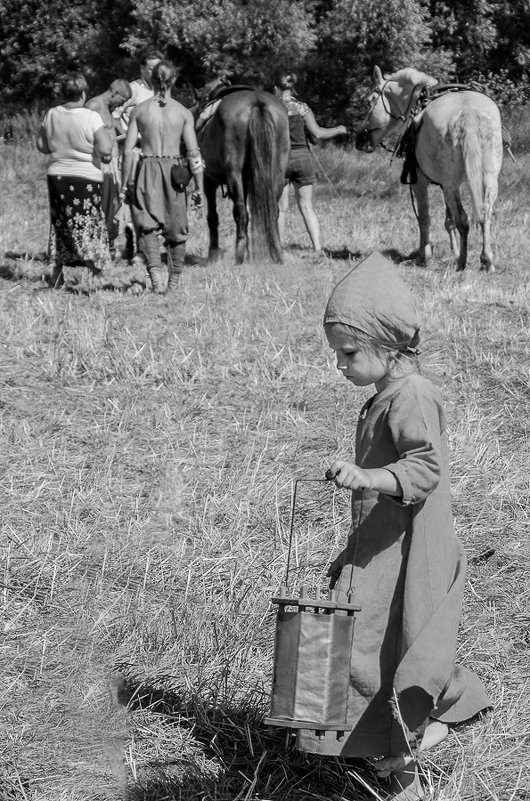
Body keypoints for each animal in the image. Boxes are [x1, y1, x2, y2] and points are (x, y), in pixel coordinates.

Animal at [197, 88, 288, 262]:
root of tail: (257, 103)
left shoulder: (209, 179)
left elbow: (213, 216)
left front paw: (213, 252)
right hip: (278, 172)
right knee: (273, 210)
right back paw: (277, 251)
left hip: (234, 172)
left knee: (240, 210)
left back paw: (239, 253)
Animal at [352, 66, 502, 272]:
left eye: (369, 102)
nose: (360, 139)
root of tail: (469, 113)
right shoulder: (448, 185)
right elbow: (449, 220)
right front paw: (453, 252)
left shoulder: (419, 182)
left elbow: (424, 217)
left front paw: (424, 255)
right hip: (486, 179)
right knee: (484, 213)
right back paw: (486, 260)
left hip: (450, 184)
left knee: (463, 220)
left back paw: (462, 263)